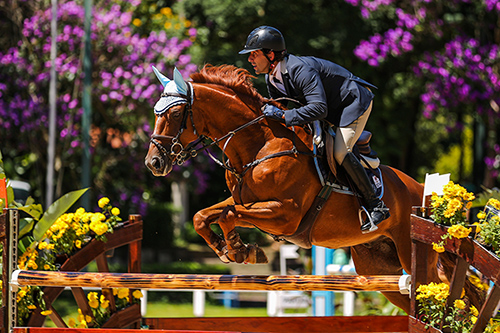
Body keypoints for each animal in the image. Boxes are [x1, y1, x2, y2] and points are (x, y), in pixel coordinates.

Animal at [144, 64, 460, 312]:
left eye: (175, 115)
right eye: (155, 113)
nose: (153, 162)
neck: (258, 145)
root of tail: (424, 193)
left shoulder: (285, 215)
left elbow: (228, 215)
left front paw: (240, 250)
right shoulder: (243, 201)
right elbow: (204, 216)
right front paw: (230, 249)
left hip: (411, 253)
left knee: (439, 291)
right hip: (379, 268)